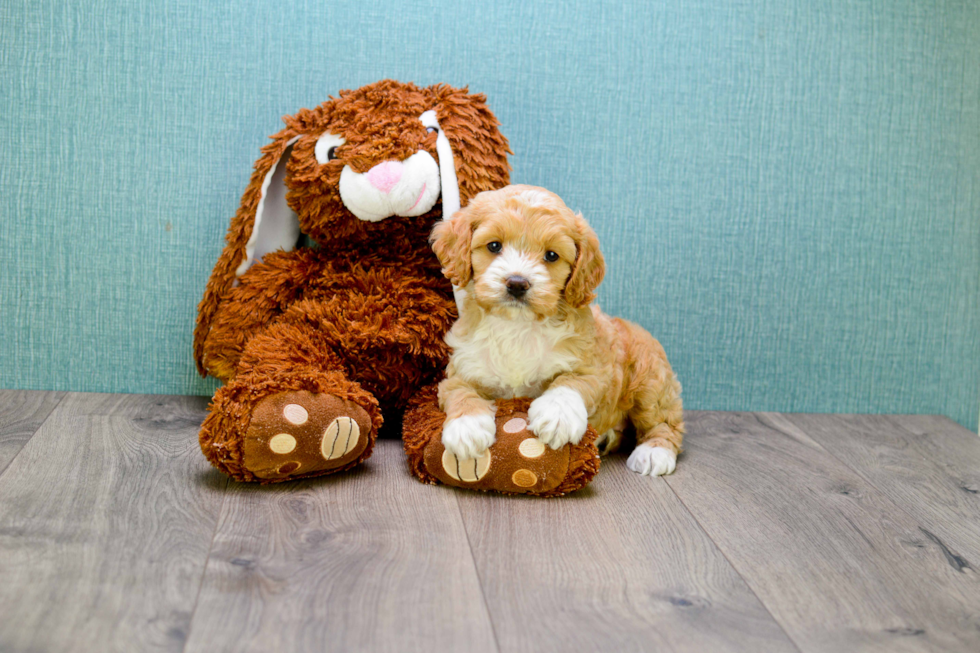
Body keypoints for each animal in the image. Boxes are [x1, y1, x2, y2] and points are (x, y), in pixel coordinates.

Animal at [432, 183, 684, 474]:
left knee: (664, 420)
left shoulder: (595, 368)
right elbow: (460, 392)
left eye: (551, 255)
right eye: (494, 246)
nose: (517, 283)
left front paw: (557, 416)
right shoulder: (462, 367)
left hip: (650, 381)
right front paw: (467, 429)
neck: (517, 325)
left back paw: (655, 452)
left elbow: (569, 382)